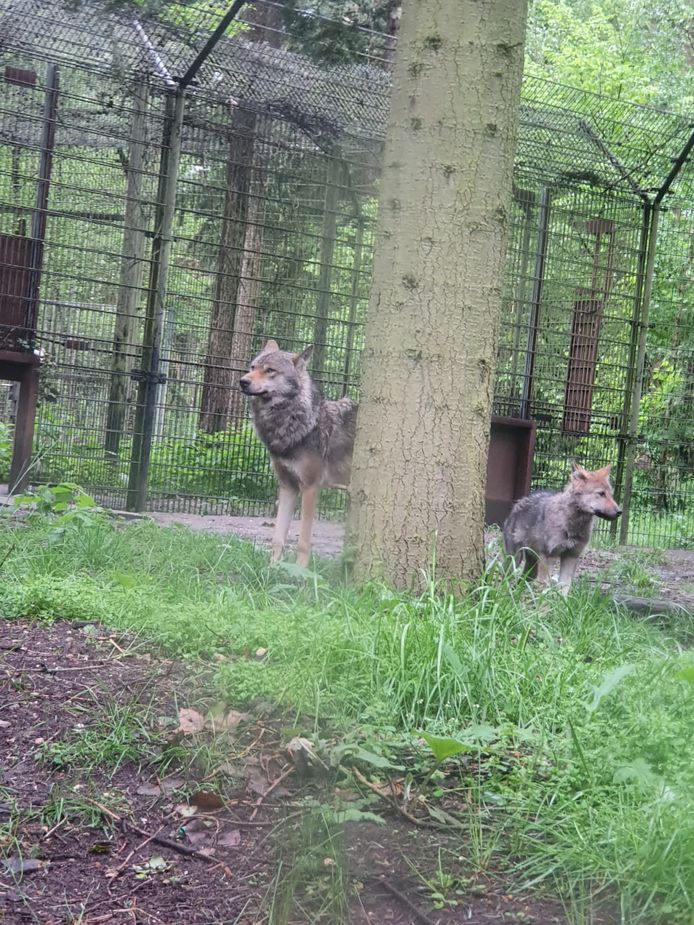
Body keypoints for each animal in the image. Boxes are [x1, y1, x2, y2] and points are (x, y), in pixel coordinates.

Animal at [241, 340, 358, 568]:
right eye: (252, 367)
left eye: (270, 370)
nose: (243, 381)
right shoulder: (288, 487)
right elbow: (278, 537)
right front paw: (272, 568)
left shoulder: (310, 487)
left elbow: (303, 541)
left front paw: (300, 571)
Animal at [502, 460, 624, 592]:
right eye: (601, 493)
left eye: (611, 495)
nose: (619, 512)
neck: (572, 526)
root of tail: (519, 502)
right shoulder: (548, 557)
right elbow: (543, 588)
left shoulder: (571, 557)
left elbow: (564, 588)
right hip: (515, 558)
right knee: (507, 578)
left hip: (532, 565)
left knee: (522, 582)